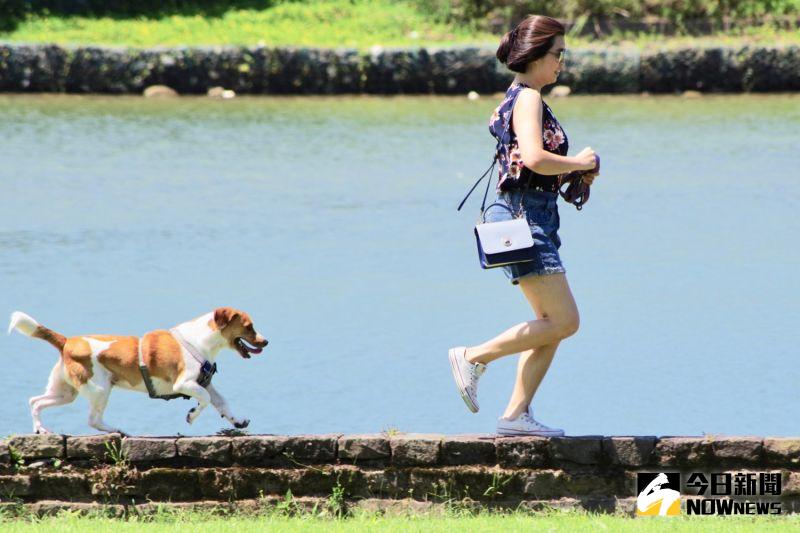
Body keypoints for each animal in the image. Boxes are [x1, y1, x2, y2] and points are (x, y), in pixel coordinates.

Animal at [7, 306, 268, 434]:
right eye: (249, 326)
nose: (266, 342)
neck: (199, 340)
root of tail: (67, 341)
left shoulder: (206, 383)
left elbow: (222, 402)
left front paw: (237, 421)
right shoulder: (184, 383)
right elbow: (203, 399)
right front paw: (192, 415)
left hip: (65, 392)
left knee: (35, 401)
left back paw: (40, 429)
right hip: (99, 388)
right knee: (92, 419)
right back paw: (116, 430)